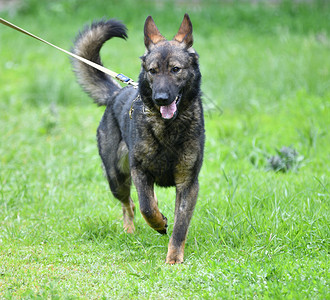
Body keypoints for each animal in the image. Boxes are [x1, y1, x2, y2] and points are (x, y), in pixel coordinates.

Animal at [71, 14, 204, 264]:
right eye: (152, 70)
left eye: (175, 69)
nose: (161, 98)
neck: (167, 128)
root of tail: (116, 93)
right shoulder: (140, 171)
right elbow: (147, 207)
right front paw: (159, 224)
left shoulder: (187, 183)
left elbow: (180, 224)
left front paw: (174, 257)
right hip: (116, 178)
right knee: (129, 204)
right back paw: (130, 230)